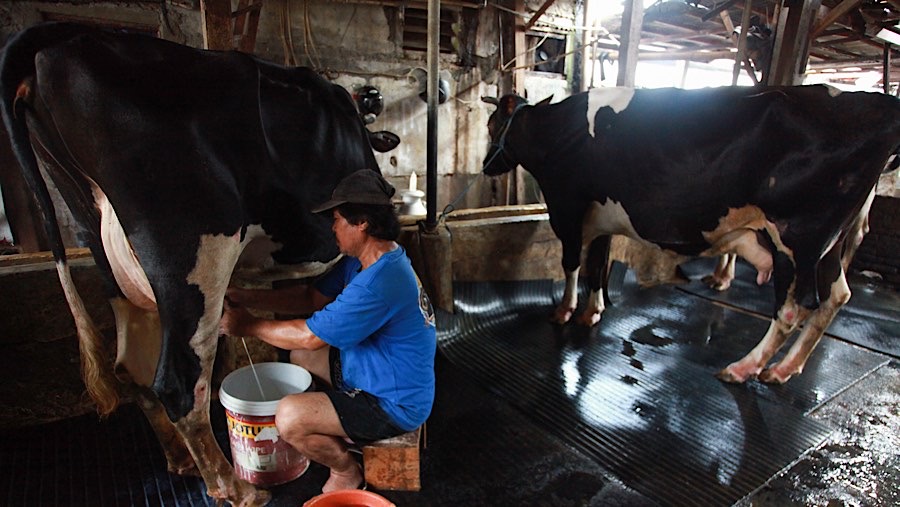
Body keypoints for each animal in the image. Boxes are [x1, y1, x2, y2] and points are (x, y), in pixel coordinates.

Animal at [1, 21, 392, 506]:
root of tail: (62, 39)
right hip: (192, 246)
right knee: (178, 380)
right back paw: (234, 487)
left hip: (104, 252)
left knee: (131, 367)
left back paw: (182, 460)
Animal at [486, 85, 900, 384]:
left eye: (492, 125)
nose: (487, 166)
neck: (555, 131)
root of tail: (879, 106)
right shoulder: (600, 214)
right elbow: (598, 264)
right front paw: (593, 311)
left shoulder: (566, 206)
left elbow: (572, 262)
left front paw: (565, 310)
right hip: (828, 246)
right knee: (836, 297)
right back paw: (784, 370)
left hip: (797, 238)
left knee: (792, 308)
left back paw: (744, 368)